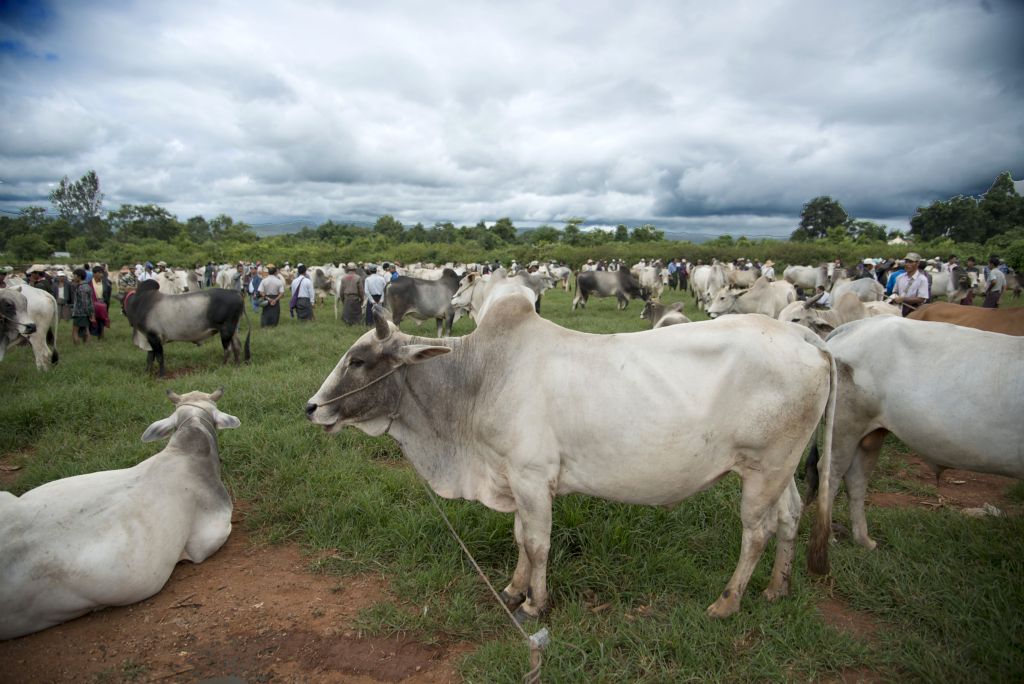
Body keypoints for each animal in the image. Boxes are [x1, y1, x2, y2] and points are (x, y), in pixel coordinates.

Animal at [122, 278, 250, 378]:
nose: (122, 311)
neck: (139, 303)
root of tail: (236, 293)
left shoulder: (153, 337)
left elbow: (159, 357)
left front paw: (161, 375)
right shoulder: (149, 339)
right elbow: (149, 358)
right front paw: (147, 373)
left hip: (225, 330)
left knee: (228, 349)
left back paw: (223, 366)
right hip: (233, 330)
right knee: (237, 347)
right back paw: (237, 366)